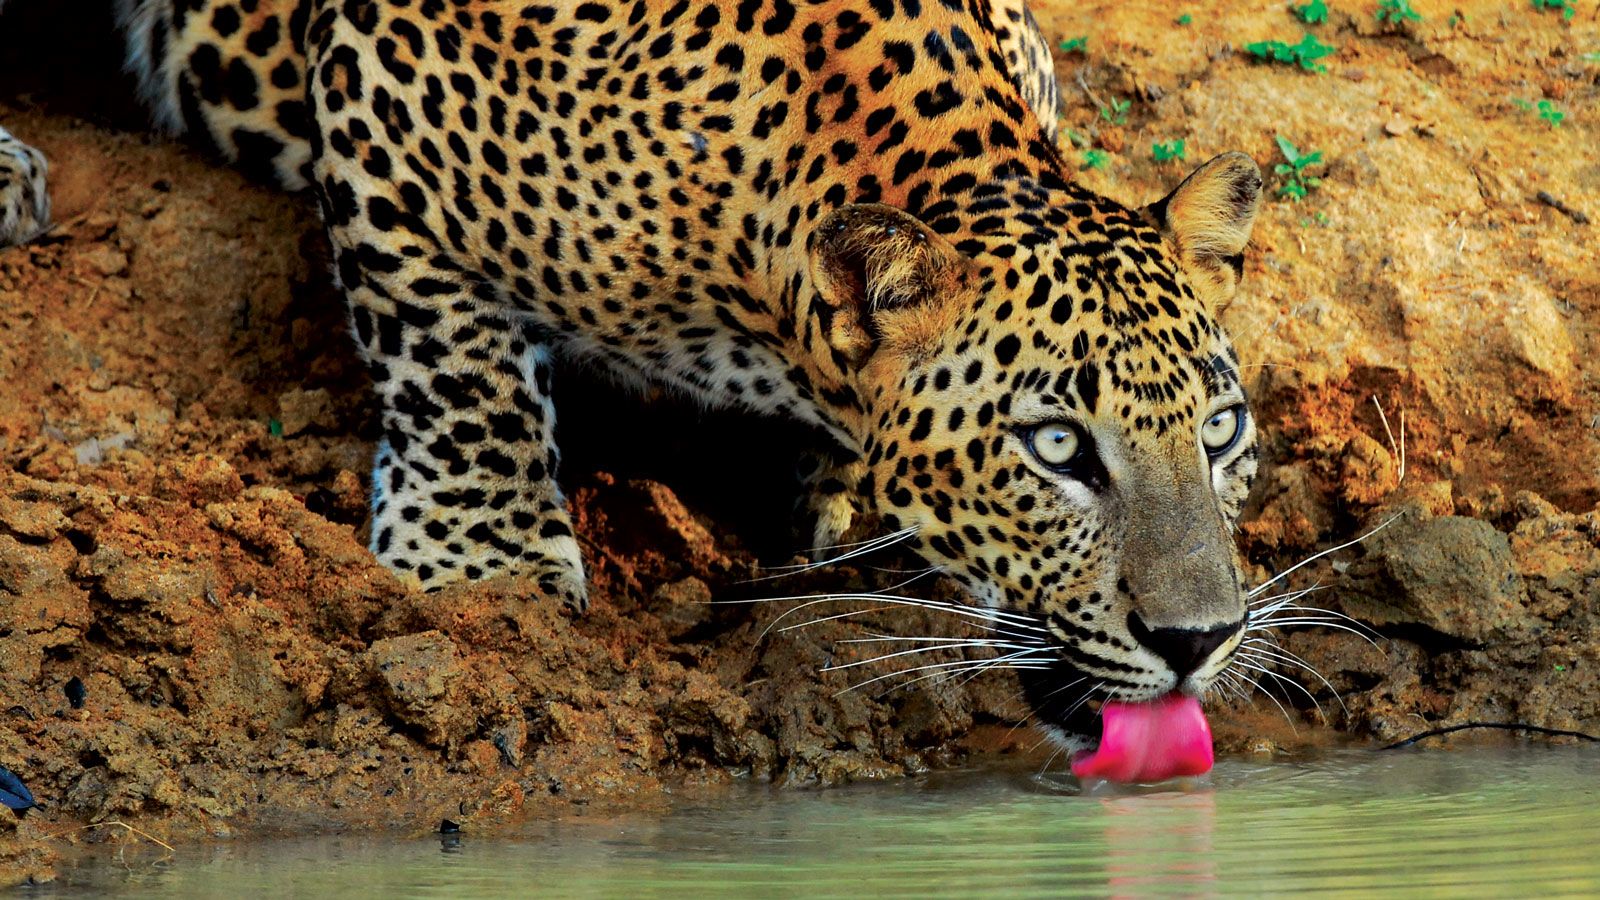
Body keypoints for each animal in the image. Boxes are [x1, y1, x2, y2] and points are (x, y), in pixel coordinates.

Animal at [0, 0, 1265, 756]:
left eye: (1217, 432)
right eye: (1056, 448)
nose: (1198, 641)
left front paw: (842, 495)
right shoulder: (388, 94)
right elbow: (450, 355)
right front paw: (480, 563)